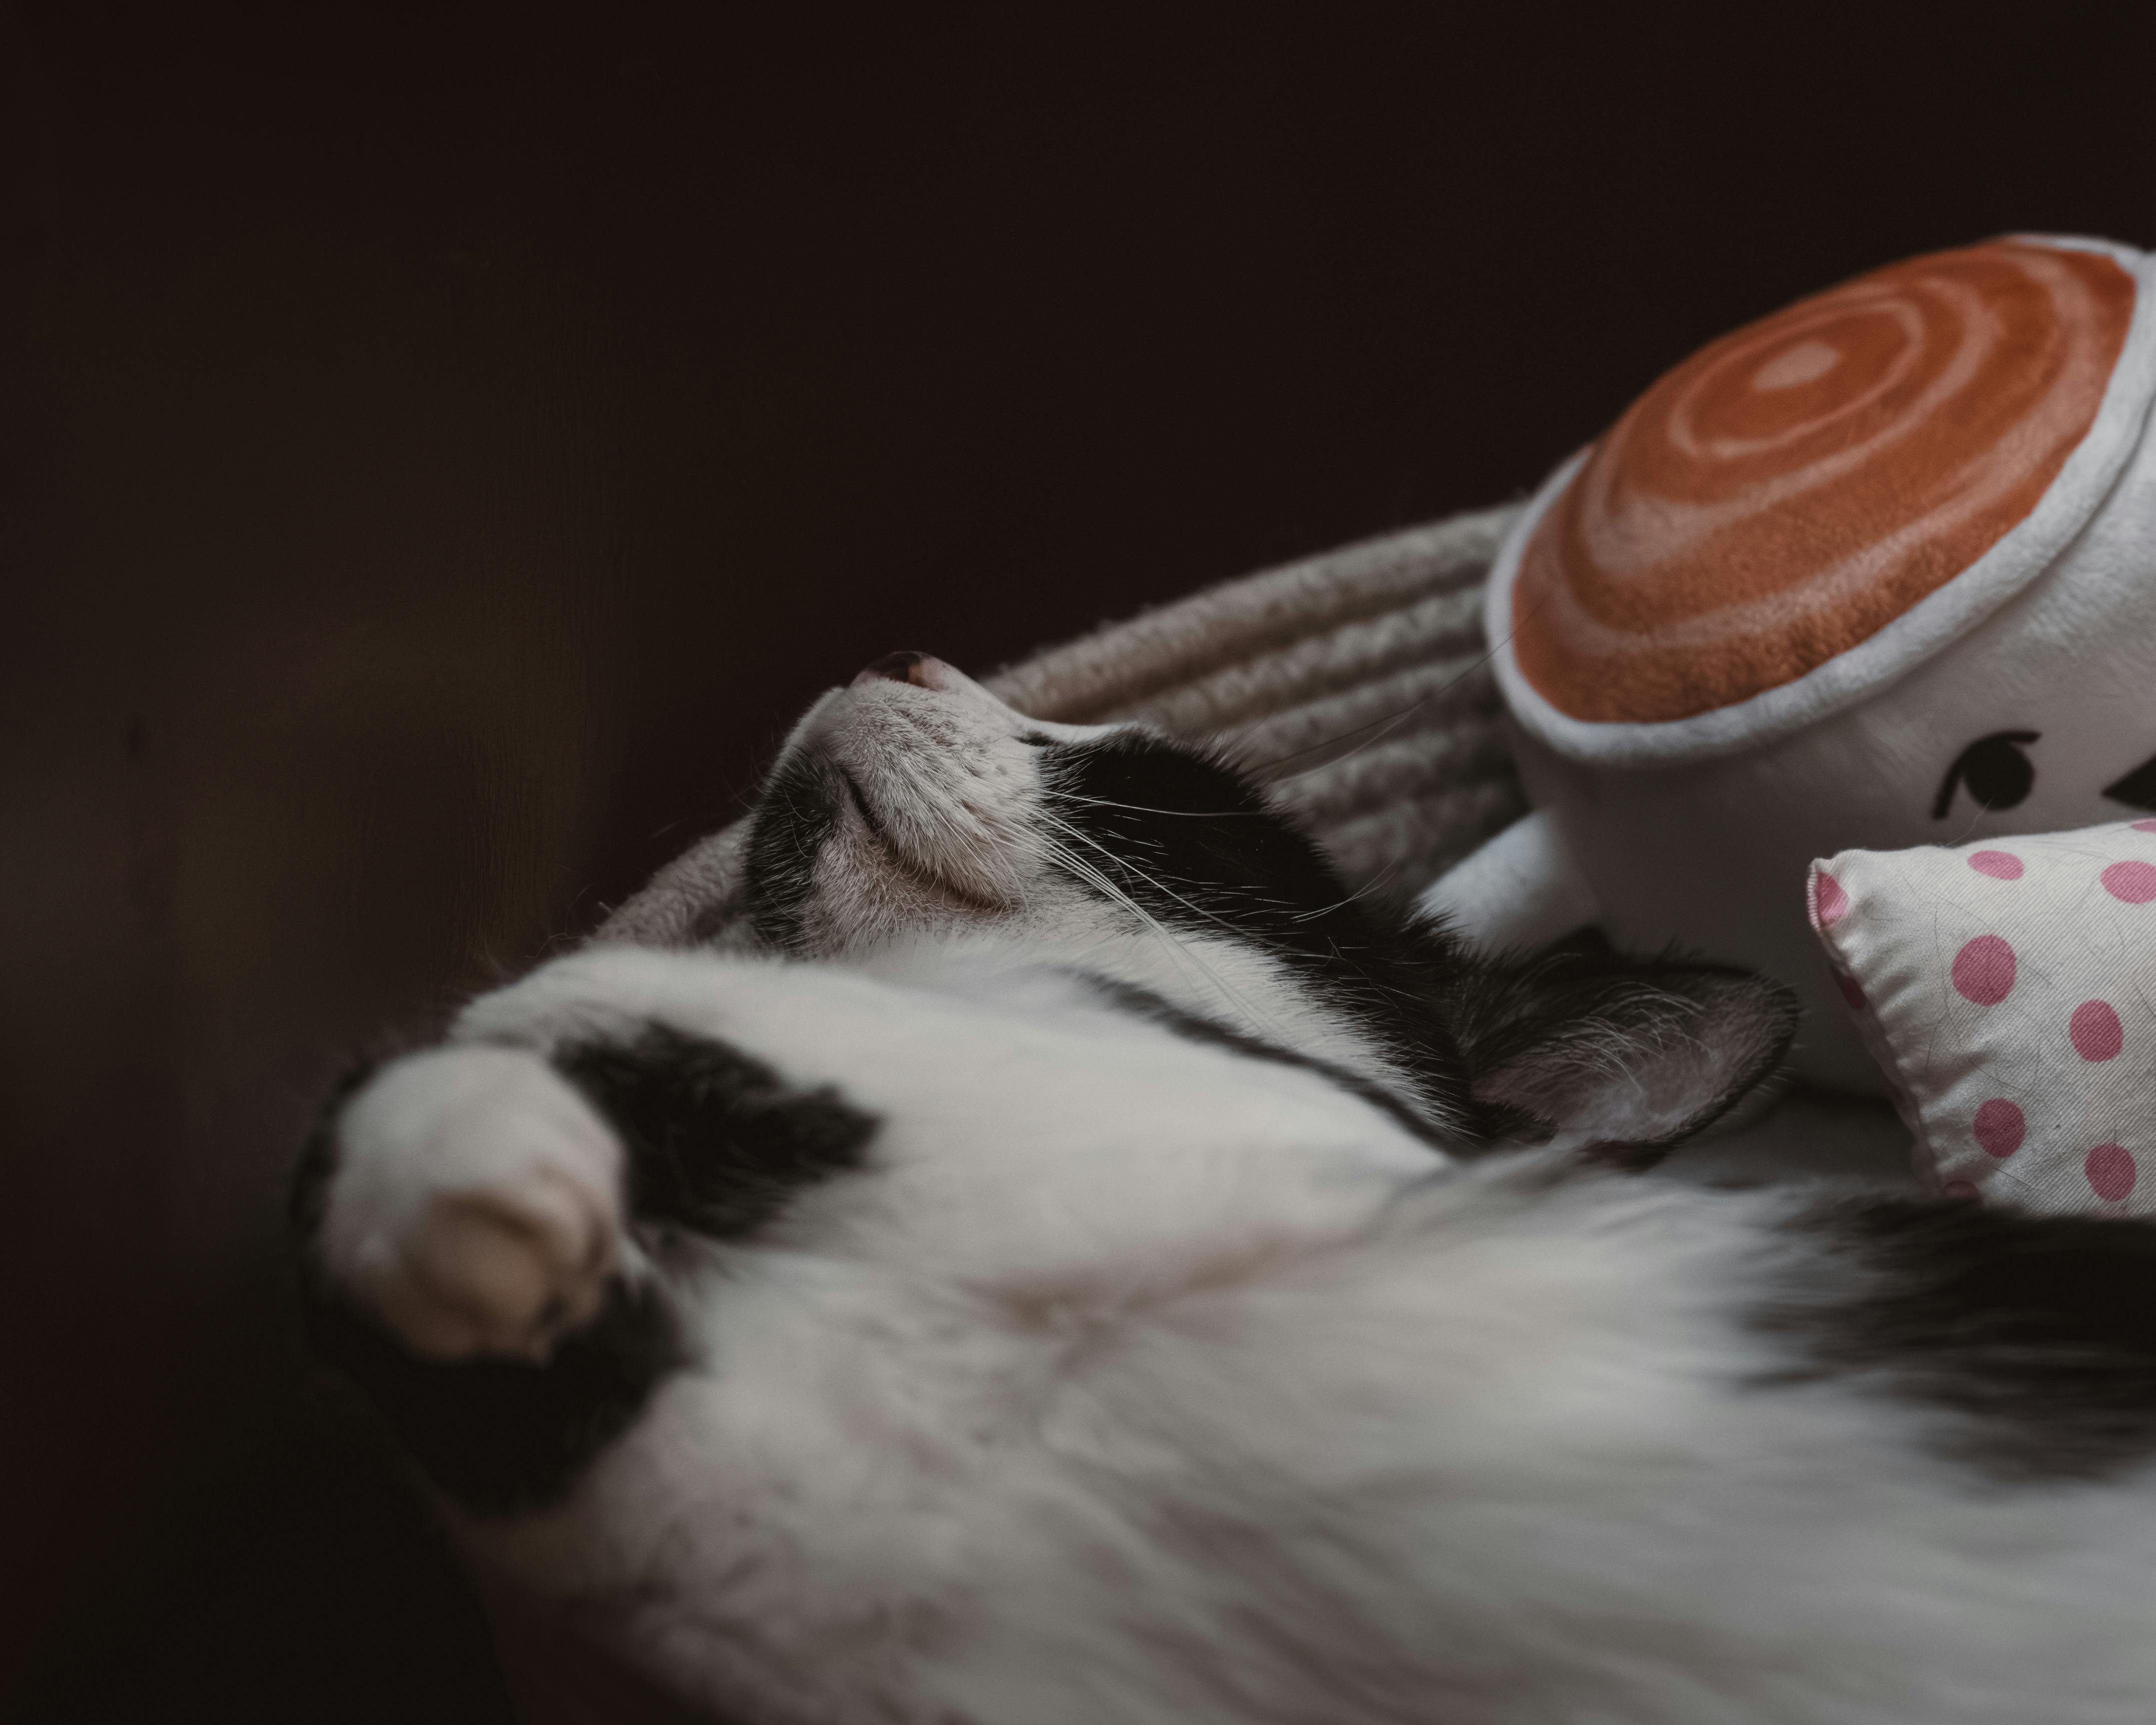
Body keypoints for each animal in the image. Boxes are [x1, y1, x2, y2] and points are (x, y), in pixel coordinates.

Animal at [291, 655, 2156, 1716]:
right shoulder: (656, 1488)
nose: (884, 653)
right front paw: (469, 1167)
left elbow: (610, 991)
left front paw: (521, 1041)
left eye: (1148, 781)